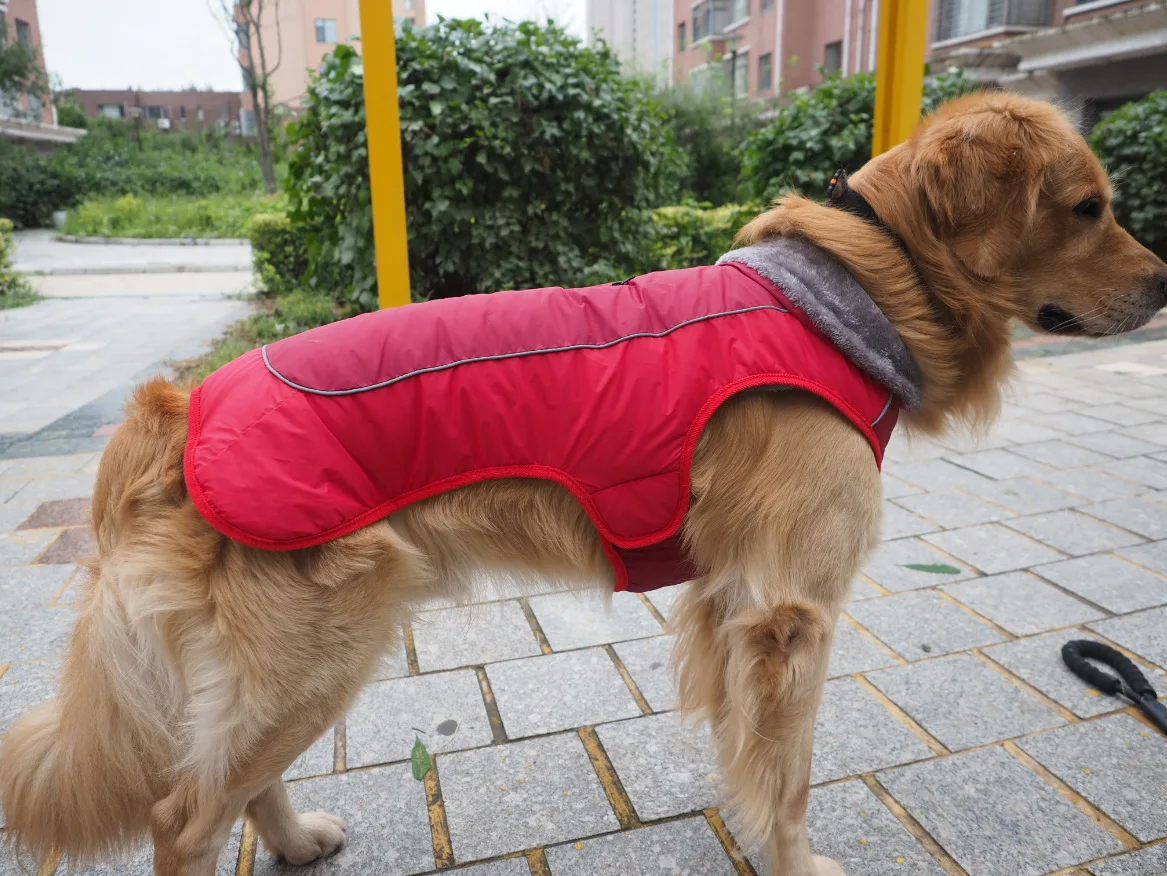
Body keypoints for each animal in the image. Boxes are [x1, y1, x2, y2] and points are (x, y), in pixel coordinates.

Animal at [2, 94, 1167, 876]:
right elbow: (788, 774)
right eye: (1086, 207)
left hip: (288, 663)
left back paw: (293, 839)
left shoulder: (729, 603)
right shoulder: (790, 615)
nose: (1166, 281)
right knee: (182, 814)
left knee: (233, 782)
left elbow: (746, 750)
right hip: (318, 647)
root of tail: (180, 405)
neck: (859, 291)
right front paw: (794, 860)